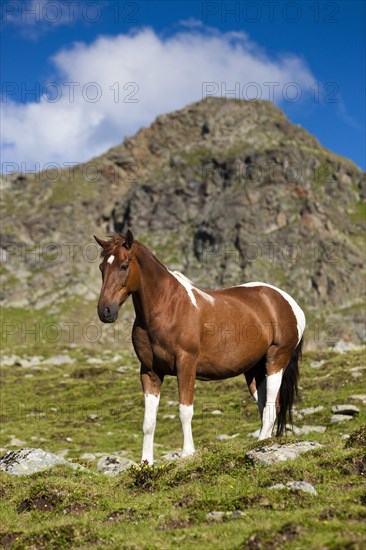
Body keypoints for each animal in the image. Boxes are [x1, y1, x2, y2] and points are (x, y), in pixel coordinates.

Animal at [94, 231, 306, 464]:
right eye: (102, 268)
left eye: (123, 266)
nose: (105, 311)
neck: (167, 308)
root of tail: (286, 301)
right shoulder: (150, 372)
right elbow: (148, 422)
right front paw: (146, 463)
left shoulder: (186, 366)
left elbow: (185, 411)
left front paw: (187, 453)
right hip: (254, 371)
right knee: (267, 406)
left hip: (276, 361)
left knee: (270, 409)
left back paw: (259, 446)